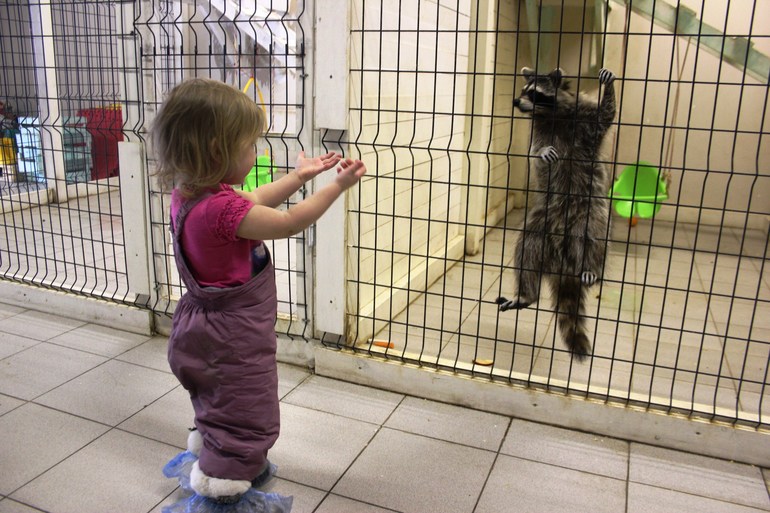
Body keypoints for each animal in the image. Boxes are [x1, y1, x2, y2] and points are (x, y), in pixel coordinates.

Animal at [496, 67, 616, 360]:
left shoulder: (586, 120)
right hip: (539, 222)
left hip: (591, 212)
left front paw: (608, 87)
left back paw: (592, 268)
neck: (552, 115)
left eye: (535, 93)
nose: (515, 102)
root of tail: (566, 262)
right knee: (525, 250)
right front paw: (541, 153)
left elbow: (606, 114)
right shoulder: (538, 132)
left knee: (597, 236)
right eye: (523, 90)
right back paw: (526, 294)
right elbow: (534, 154)